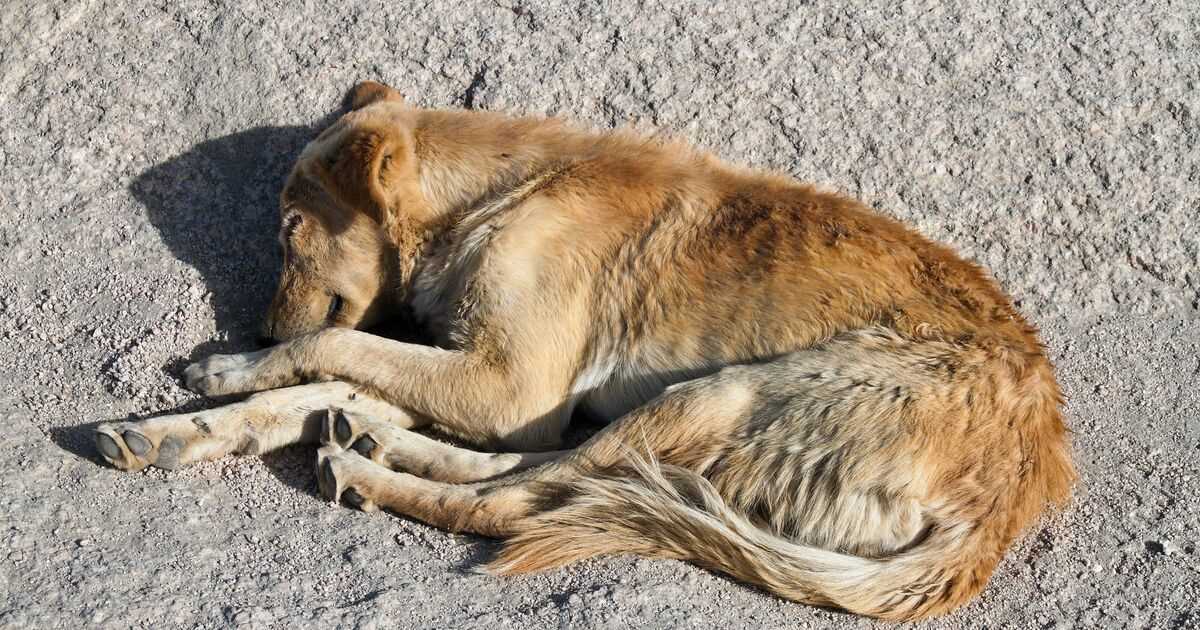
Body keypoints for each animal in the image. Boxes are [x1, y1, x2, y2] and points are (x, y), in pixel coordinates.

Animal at [96, 79, 1080, 619]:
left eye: (290, 229)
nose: (260, 328)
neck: (504, 191)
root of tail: (1017, 488)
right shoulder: (494, 379)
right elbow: (328, 377)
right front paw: (193, 421)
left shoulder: (506, 388)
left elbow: (332, 343)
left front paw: (239, 371)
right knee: (536, 477)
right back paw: (365, 444)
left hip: (722, 395)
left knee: (518, 503)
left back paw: (370, 471)